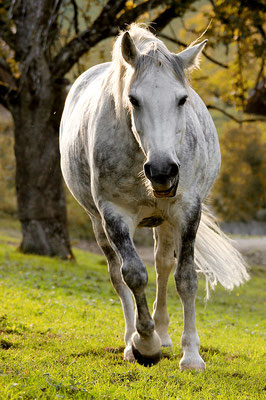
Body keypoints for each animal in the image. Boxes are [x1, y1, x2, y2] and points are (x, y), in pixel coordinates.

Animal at [60, 24, 249, 368]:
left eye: (182, 99)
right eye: (133, 99)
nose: (163, 170)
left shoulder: (187, 212)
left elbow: (185, 278)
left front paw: (191, 355)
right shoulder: (113, 215)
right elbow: (134, 275)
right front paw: (145, 344)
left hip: (165, 221)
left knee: (163, 266)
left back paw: (165, 334)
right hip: (98, 224)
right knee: (118, 275)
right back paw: (131, 341)